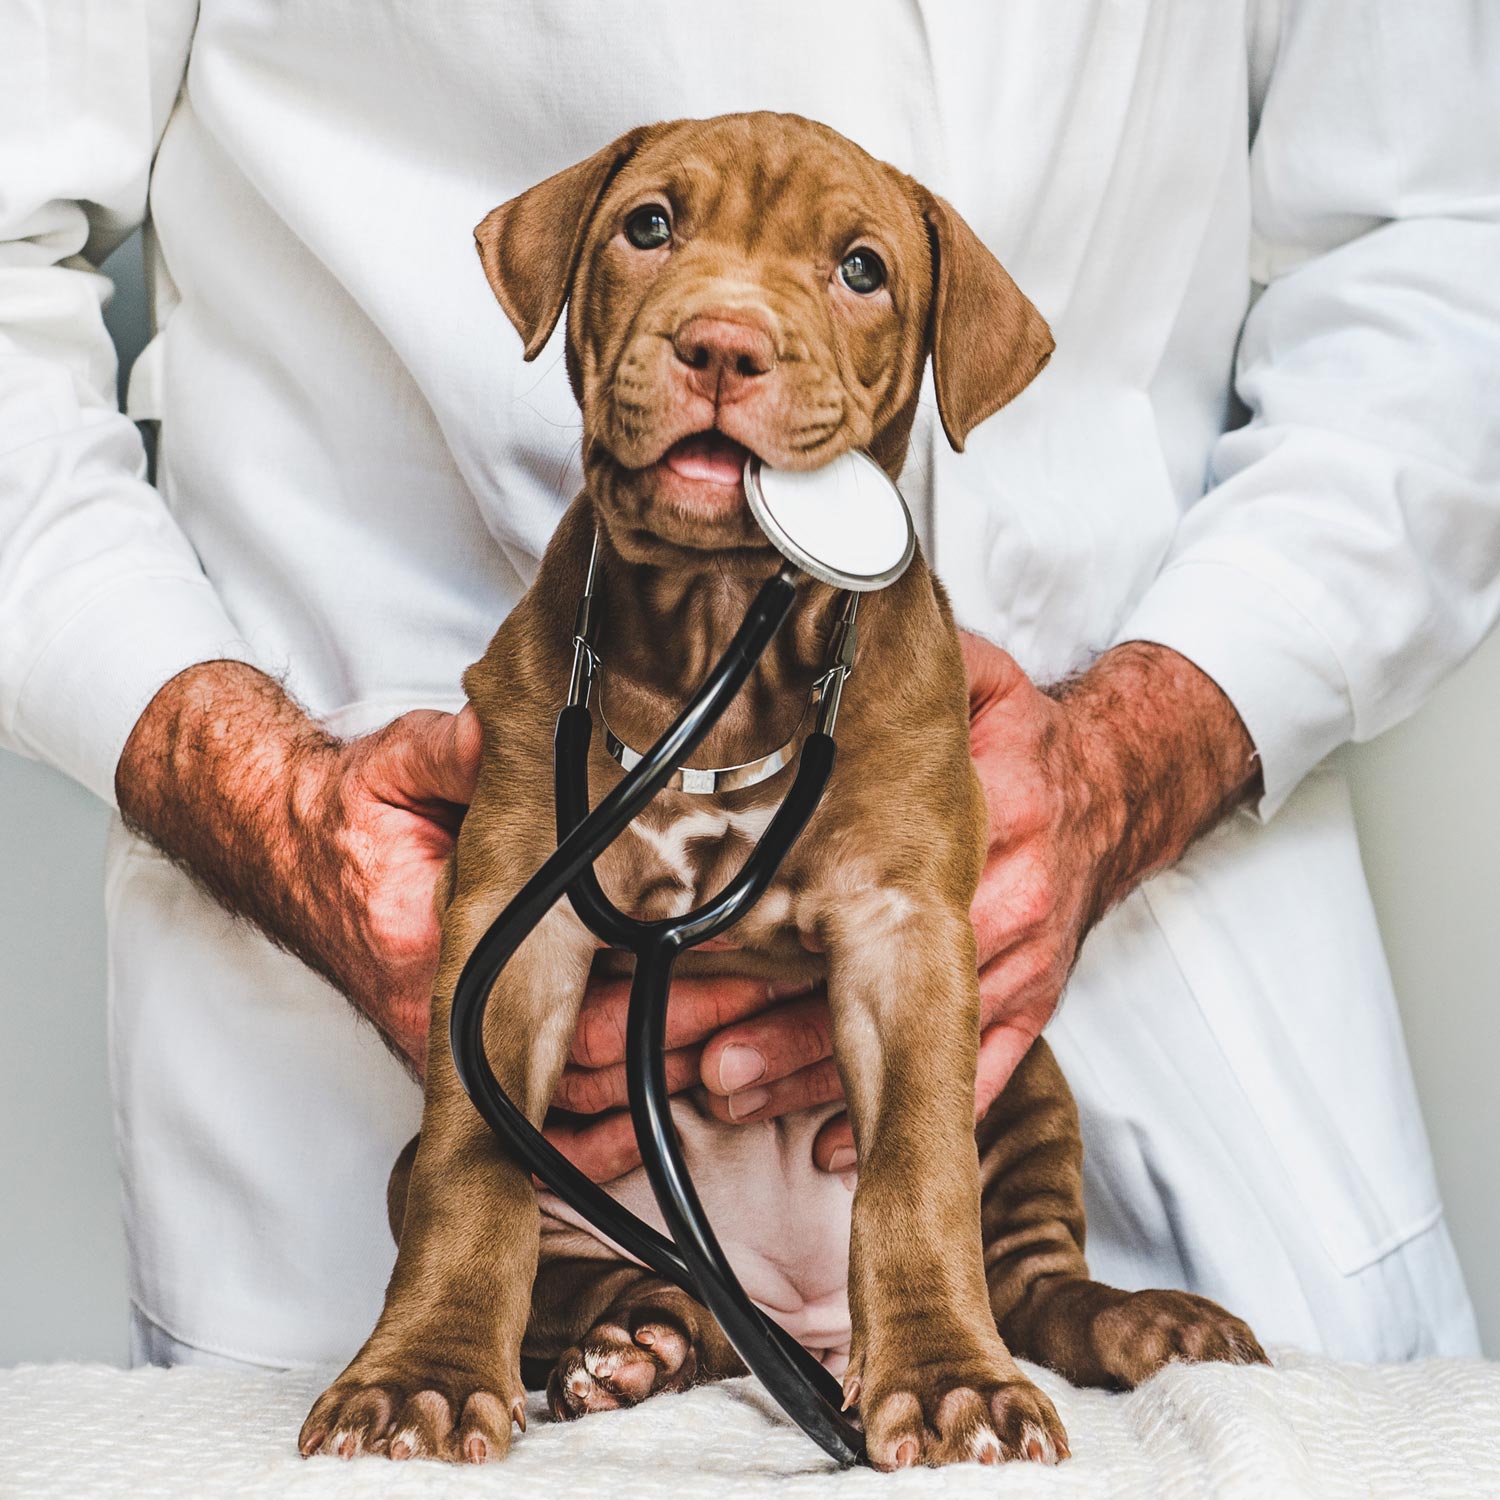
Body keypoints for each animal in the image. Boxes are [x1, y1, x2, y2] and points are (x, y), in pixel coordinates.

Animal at [298, 111, 1260, 1470]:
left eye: (861, 269)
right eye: (649, 226)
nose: (722, 343)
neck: (721, 631)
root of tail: (794, 1327)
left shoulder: (911, 934)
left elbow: (915, 1172)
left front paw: (953, 1382)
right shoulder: (510, 926)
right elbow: (470, 1173)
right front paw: (419, 1376)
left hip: (1026, 1079)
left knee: (1031, 1279)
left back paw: (1146, 1322)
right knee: (610, 1279)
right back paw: (634, 1339)